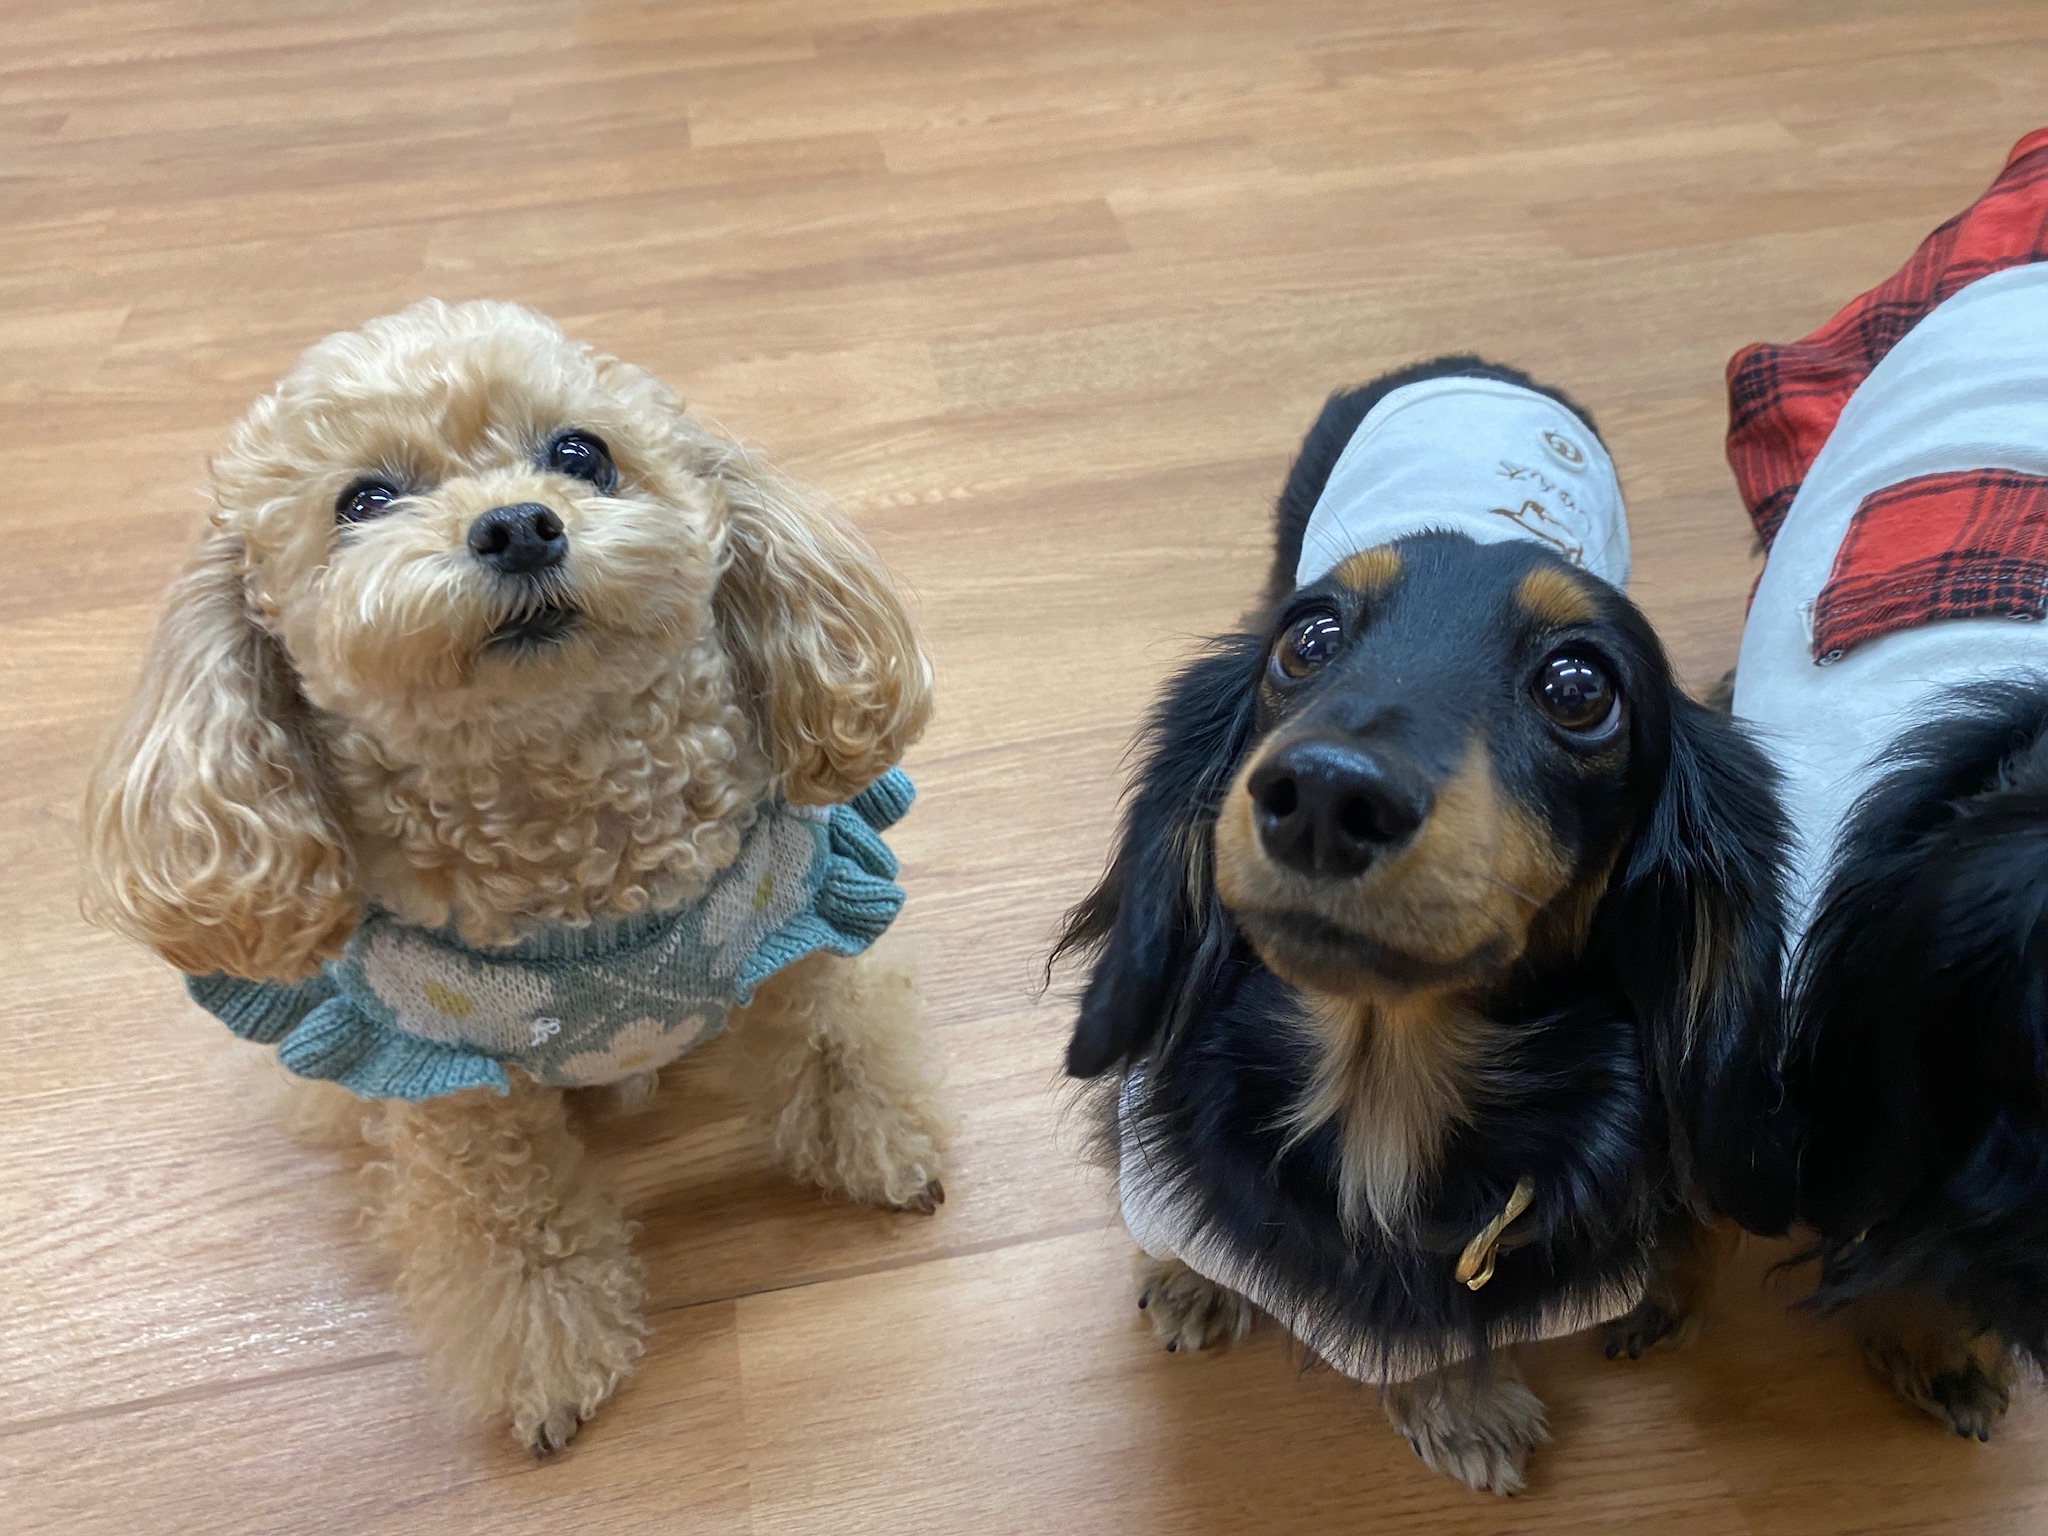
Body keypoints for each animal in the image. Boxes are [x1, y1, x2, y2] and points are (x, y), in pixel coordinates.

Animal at [81, 299, 950, 1452]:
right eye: (364, 500)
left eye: (580, 454)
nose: (519, 526)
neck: (574, 819)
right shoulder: (445, 1085)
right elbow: (507, 1222)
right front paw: (550, 1362)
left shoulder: (794, 930)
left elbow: (837, 1048)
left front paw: (886, 1153)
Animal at [1056, 357, 1790, 1495]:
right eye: (1307, 640)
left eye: (1579, 687)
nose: (1322, 797)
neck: (1378, 1088)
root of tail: (1479, 365)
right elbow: (1181, 1234)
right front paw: (1189, 1281)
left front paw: (1458, 1404)